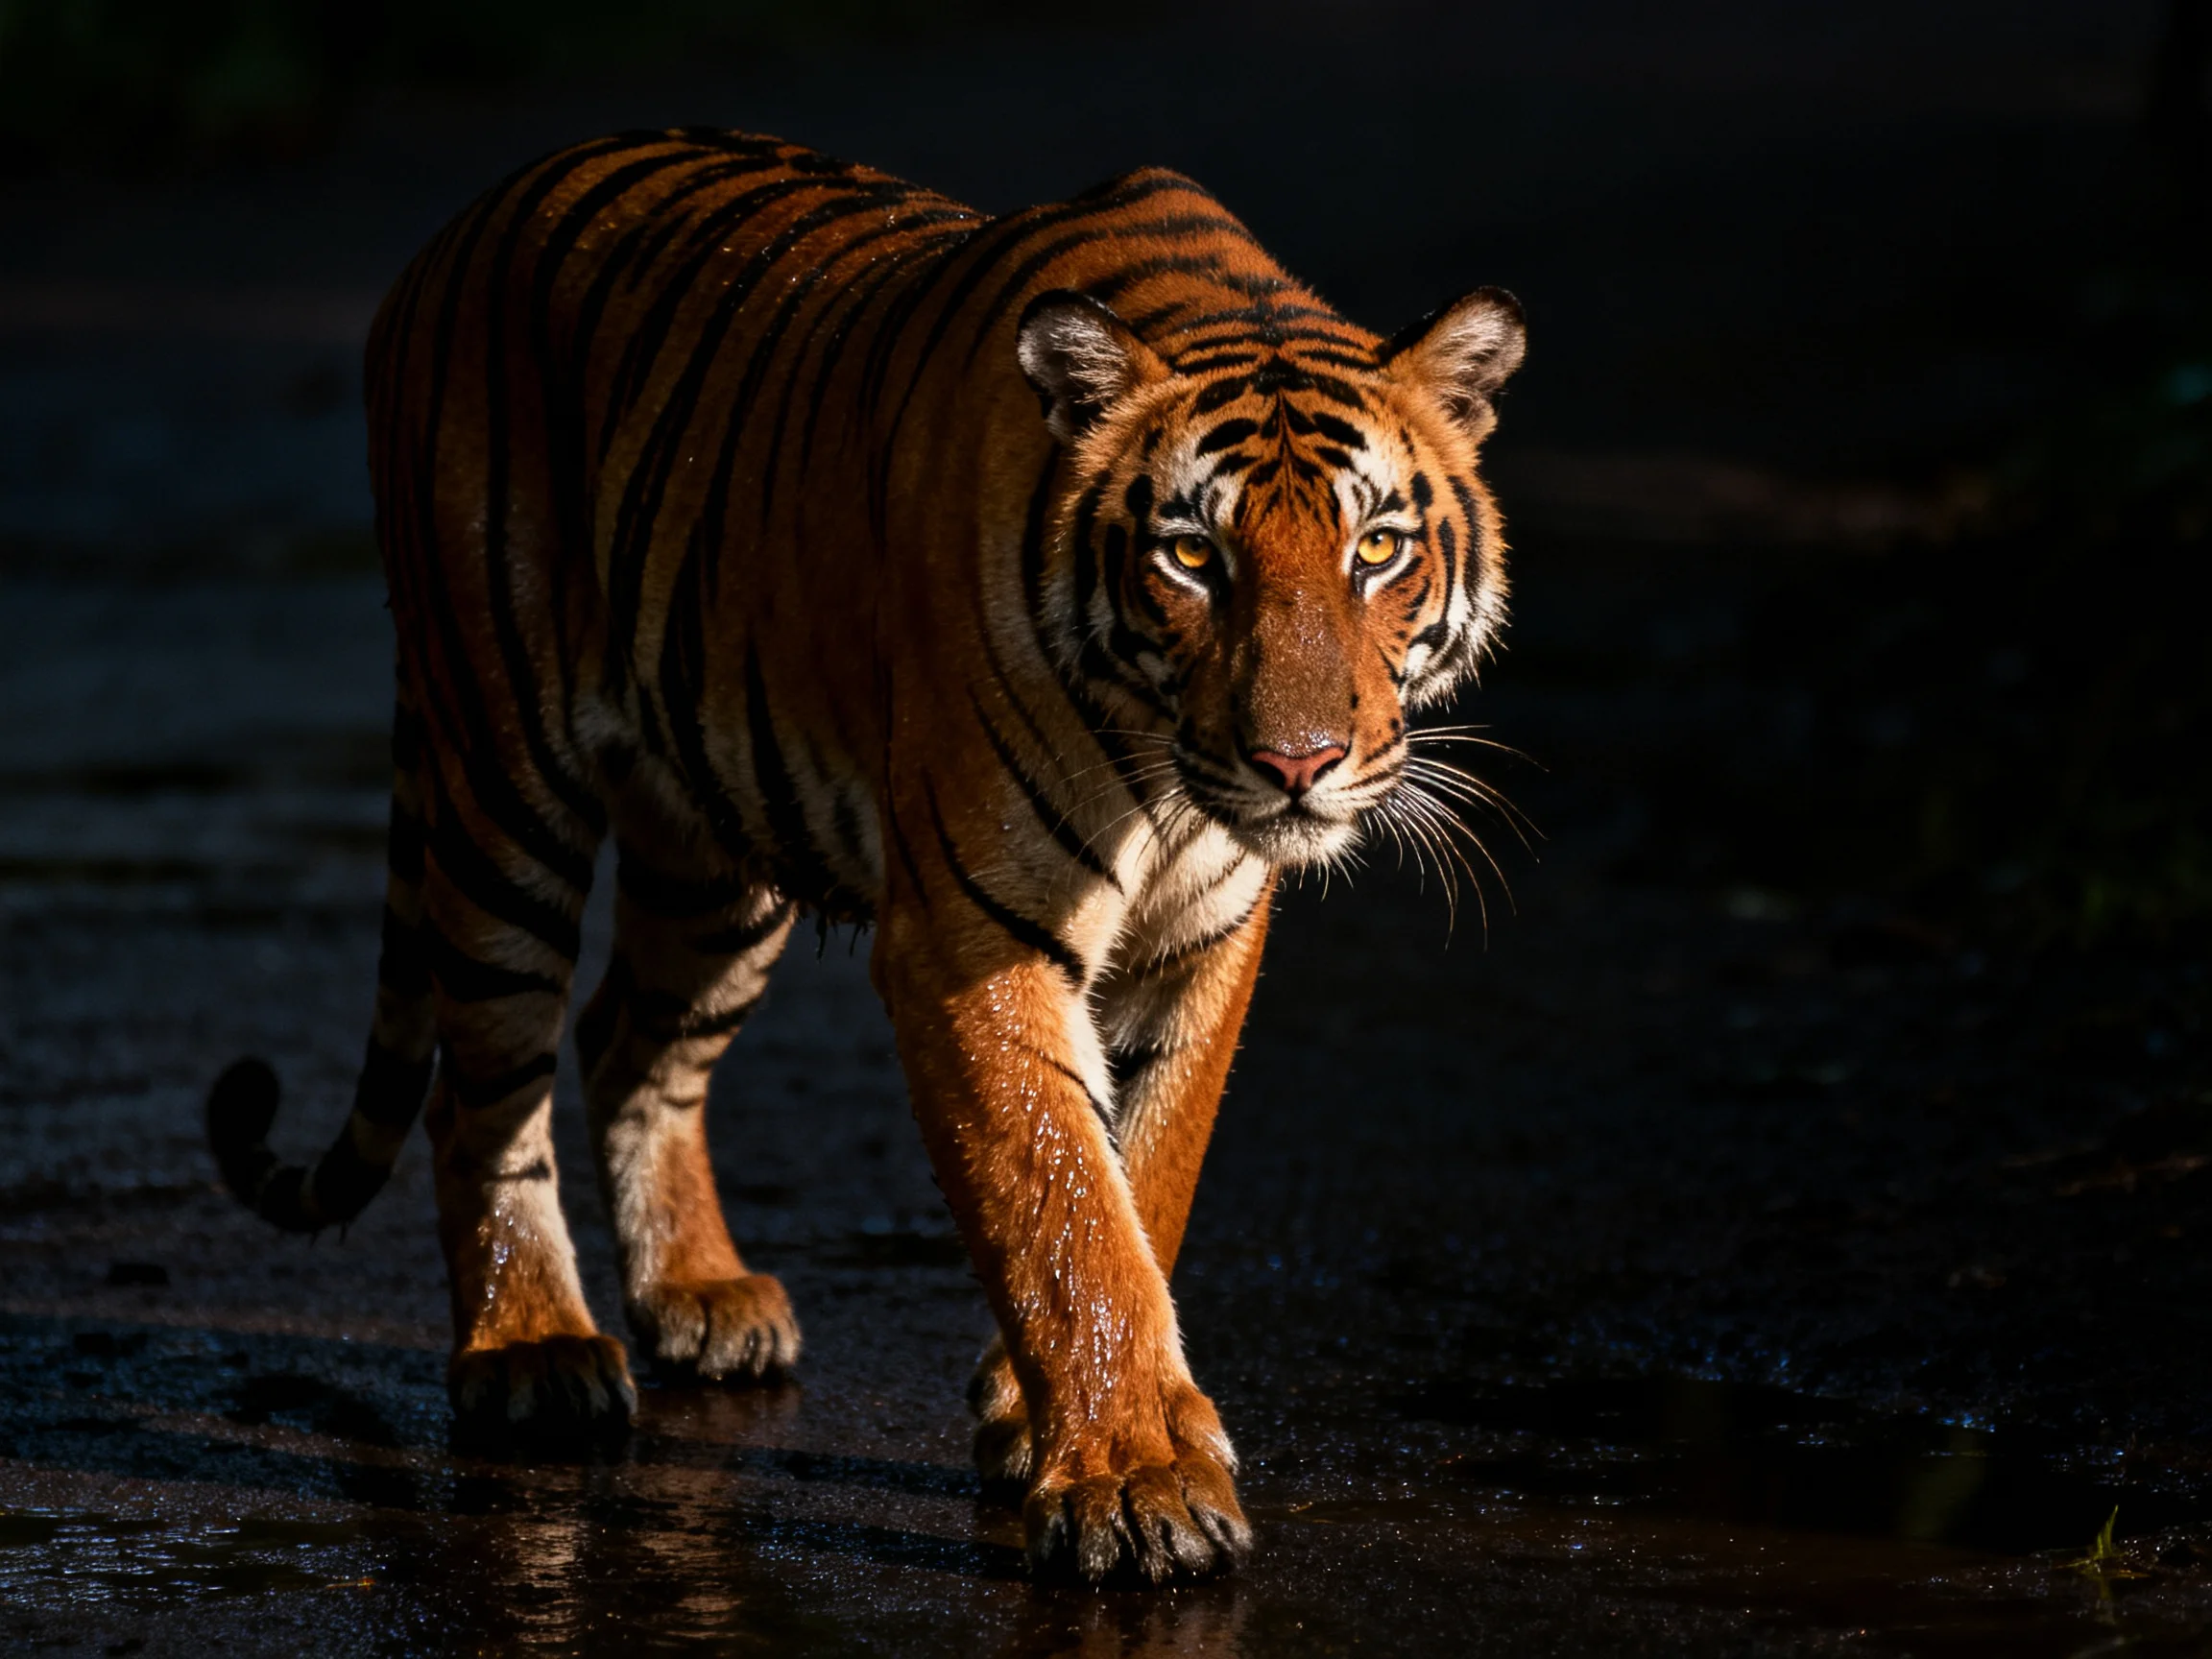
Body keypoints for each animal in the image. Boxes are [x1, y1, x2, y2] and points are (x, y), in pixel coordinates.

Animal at [205, 126, 1524, 1584]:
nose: (1299, 763)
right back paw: (532, 1348)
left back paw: (698, 1296)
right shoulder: (974, 935)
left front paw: (1049, 1412)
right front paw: (1136, 1484)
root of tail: (454, 232)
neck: (1168, 787)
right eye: (1191, 555)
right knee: (481, 1083)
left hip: (716, 853)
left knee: (628, 1038)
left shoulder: (1206, 937)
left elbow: (1146, 1174)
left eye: (1378, 548)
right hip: (504, 777)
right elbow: (1063, 1204)